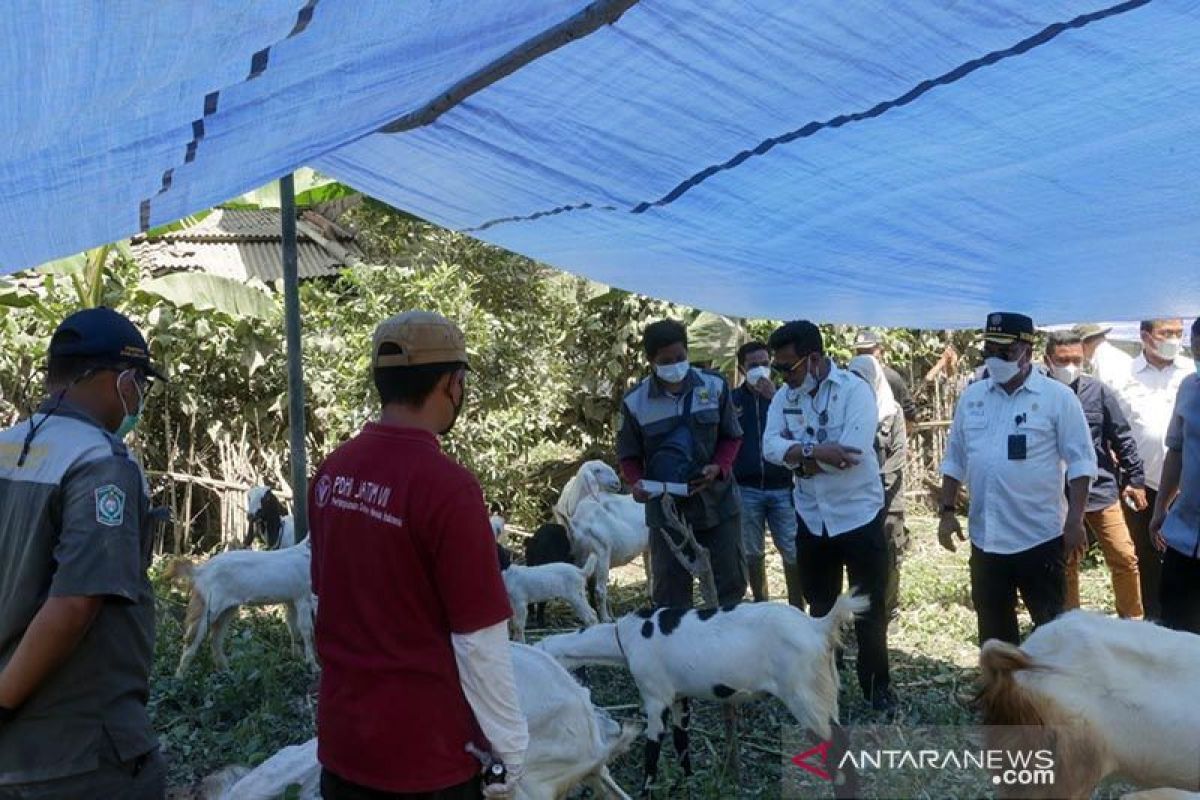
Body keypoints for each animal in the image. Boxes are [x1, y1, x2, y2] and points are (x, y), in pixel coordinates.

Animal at [165, 537, 314, 676]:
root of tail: (200, 571)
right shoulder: (304, 597)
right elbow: (306, 630)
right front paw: (312, 665)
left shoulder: (291, 600)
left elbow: (294, 629)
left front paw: (298, 658)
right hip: (209, 605)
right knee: (193, 638)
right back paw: (179, 678)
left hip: (227, 610)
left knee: (216, 639)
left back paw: (226, 672)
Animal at [540, 594, 868, 796]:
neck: (627, 637)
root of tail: (819, 627)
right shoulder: (679, 698)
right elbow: (682, 742)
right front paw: (687, 783)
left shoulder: (655, 697)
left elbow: (651, 754)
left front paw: (646, 792)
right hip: (825, 693)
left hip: (807, 700)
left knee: (839, 756)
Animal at [554, 460, 652, 623]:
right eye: (598, 470)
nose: (617, 483)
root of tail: (577, 526)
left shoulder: (647, 548)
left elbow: (649, 571)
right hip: (602, 554)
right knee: (600, 589)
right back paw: (606, 618)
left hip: (581, 558)